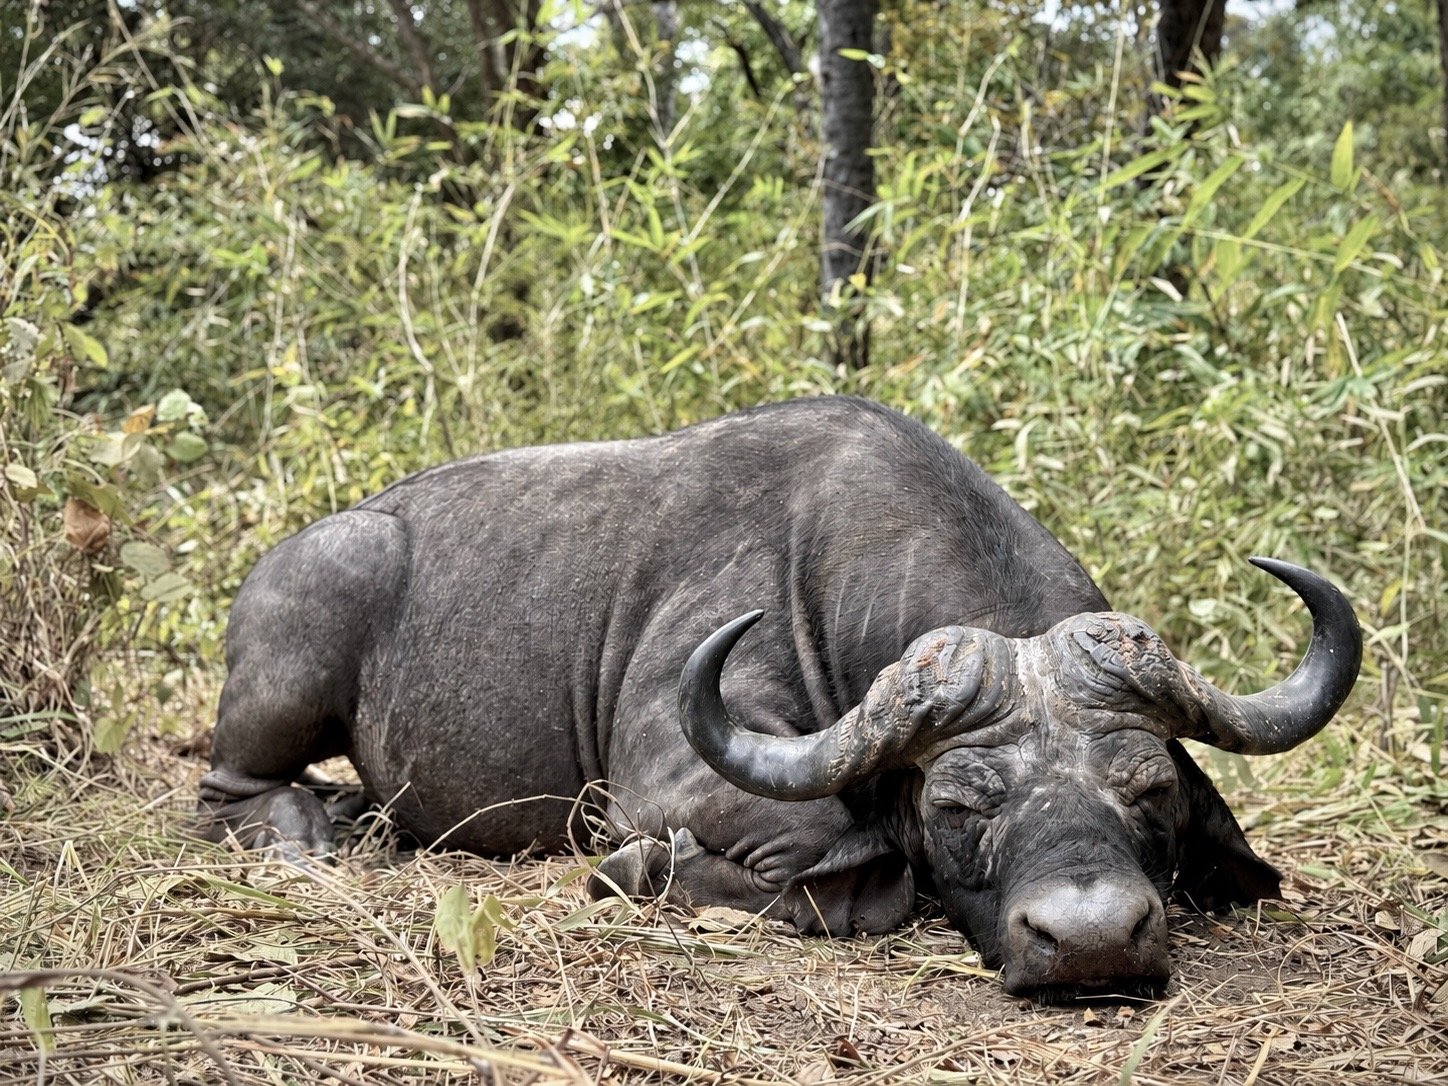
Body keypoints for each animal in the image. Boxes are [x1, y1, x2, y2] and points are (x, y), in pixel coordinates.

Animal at [198, 397, 1360, 999]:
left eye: (1149, 790)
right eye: (956, 806)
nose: (1091, 942)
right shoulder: (666, 774)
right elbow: (852, 866)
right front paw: (637, 870)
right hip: (290, 665)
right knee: (225, 790)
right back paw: (304, 829)